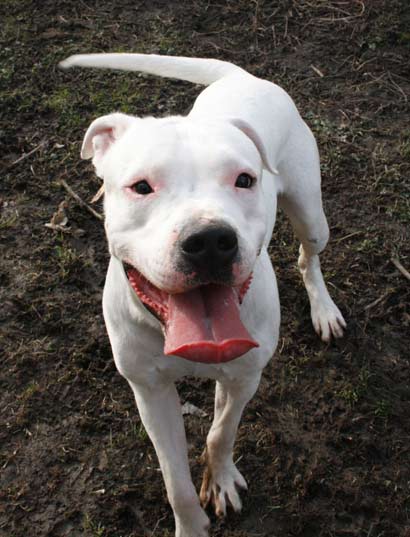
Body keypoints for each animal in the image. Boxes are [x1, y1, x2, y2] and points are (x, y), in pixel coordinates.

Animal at [60, 53, 346, 537]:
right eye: (141, 186)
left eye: (245, 180)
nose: (211, 240)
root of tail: (242, 76)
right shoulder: (150, 391)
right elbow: (175, 479)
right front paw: (192, 520)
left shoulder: (245, 375)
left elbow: (221, 432)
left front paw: (222, 478)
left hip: (311, 213)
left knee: (309, 255)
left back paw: (323, 307)